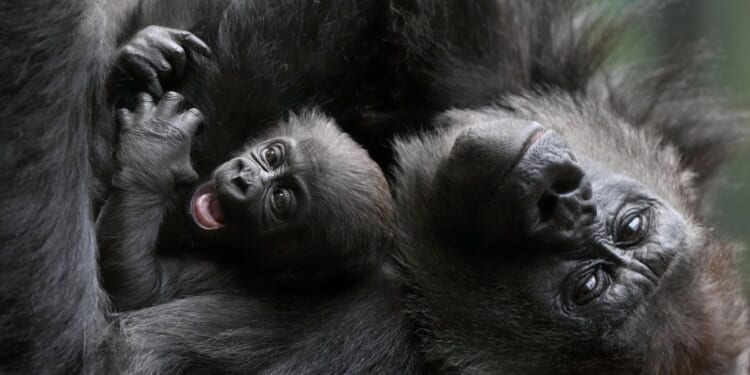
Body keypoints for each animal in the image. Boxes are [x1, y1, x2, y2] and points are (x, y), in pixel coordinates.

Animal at [97, 91, 394, 312]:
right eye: (272, 155)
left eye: (279, 199)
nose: (243, 178)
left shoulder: (232, 277)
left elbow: (138, 288)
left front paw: (155, 150)